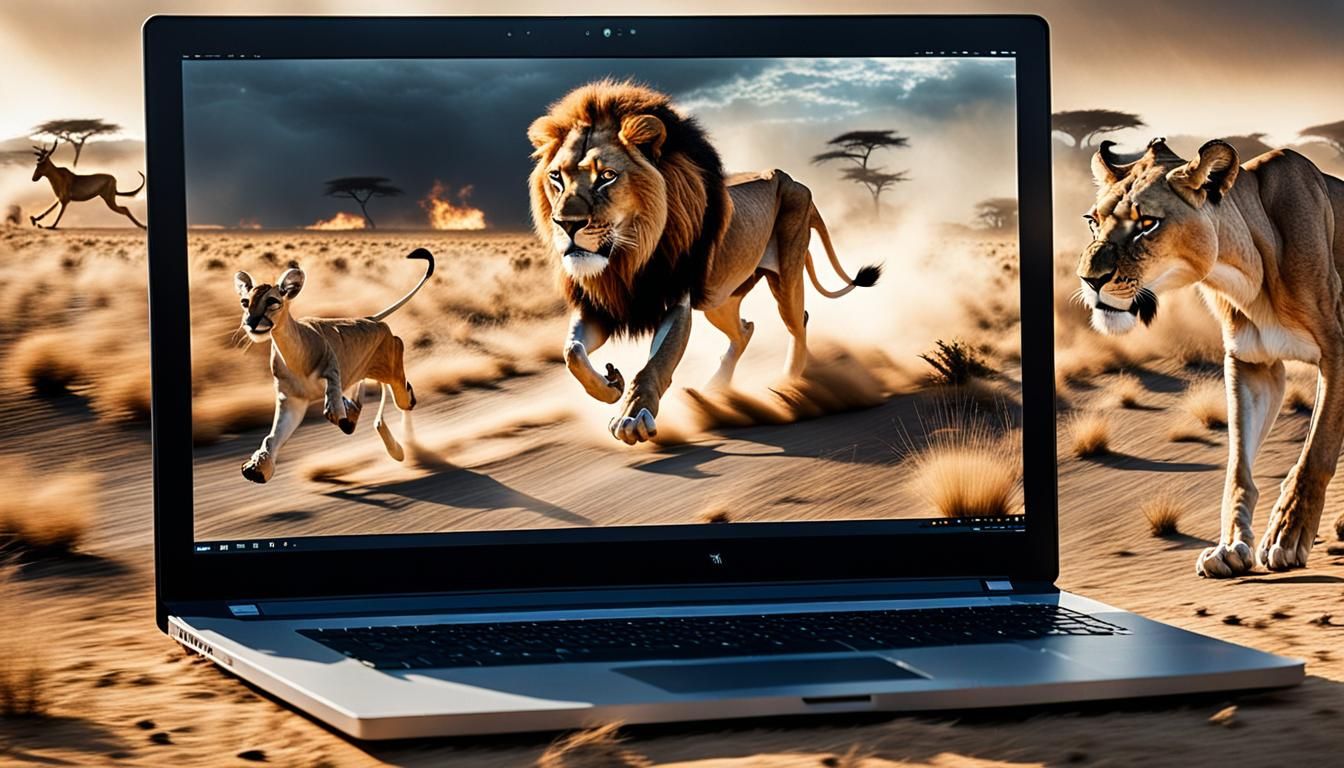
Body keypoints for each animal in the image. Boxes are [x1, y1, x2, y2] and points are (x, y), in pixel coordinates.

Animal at [232, 248, 434, 483]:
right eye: (245, 302)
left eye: (272, 301)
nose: (250, 323)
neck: (292, 355)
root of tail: (371, 319)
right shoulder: (291, 400)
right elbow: (273, 436)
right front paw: (257, 468)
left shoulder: (330, 361)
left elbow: (333, 381)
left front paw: (336, 410)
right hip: (365, 369)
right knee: (367, 395)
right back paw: (359, 422)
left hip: (392, 365)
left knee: (403, 396)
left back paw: (396, 444)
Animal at [527, 80, 880, 445]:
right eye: (556, 177)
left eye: (607, 176)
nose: (565, 224)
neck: (626, 258)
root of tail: (793, 180)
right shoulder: (599, 306)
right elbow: (572, 352)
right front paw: (610, 385)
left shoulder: (675, 299)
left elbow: (656, 364)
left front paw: (632, 416)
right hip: (718, 299)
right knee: (745, 330)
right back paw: (714, 390)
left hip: (786, 277)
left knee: (798, 325)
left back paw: (788, 385)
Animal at [1076, 137, 1344, 577]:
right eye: (1093, 221)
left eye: (1146, 223)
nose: (1089, 280)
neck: (1247, 274)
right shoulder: (1252, 364)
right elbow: (1238, 466)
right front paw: (1231, 546)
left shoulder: (1336, 350)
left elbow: (1316, 450)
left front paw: (1286, 533)